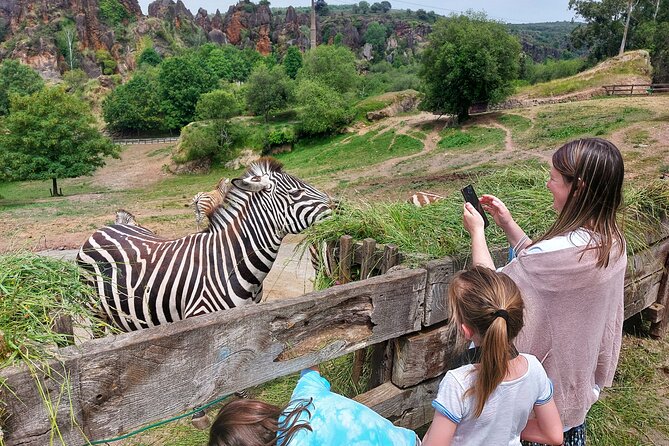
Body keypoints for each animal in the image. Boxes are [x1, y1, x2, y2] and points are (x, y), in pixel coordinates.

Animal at [76, 157, 334, 332]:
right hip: (96, 313)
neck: (231, 260)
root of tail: (107, 226)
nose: (339, 206)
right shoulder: (201, 322)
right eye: (296, 192)